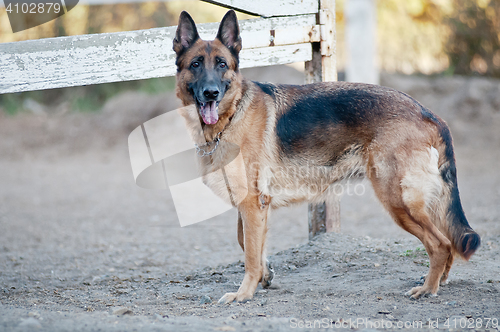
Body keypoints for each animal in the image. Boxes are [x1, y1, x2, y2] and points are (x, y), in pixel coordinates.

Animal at [173, 10, 480, 302]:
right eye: (196, 64)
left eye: (222, 64)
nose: (211, 93)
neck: (232, 114)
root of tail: (428, 113)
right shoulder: (252, 205)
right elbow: (246, 241)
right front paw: (265, 273)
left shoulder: (252, 203)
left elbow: (248, 252)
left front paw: (244, 293)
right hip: (420, 203)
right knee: (448, 243)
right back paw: (439, 281)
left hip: (399, 202)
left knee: (440, 244)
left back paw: (428, 288)